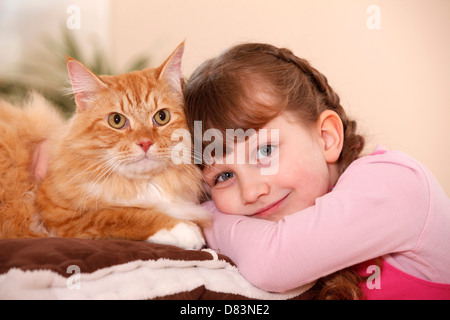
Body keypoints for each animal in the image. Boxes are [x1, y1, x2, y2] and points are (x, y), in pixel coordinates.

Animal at [0, 42, 210, 249]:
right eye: (116, 120)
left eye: (162, 117)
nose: (145, 142)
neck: (142, 185)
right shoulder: (60, 215)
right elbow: (121, 214)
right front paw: (183, 229)